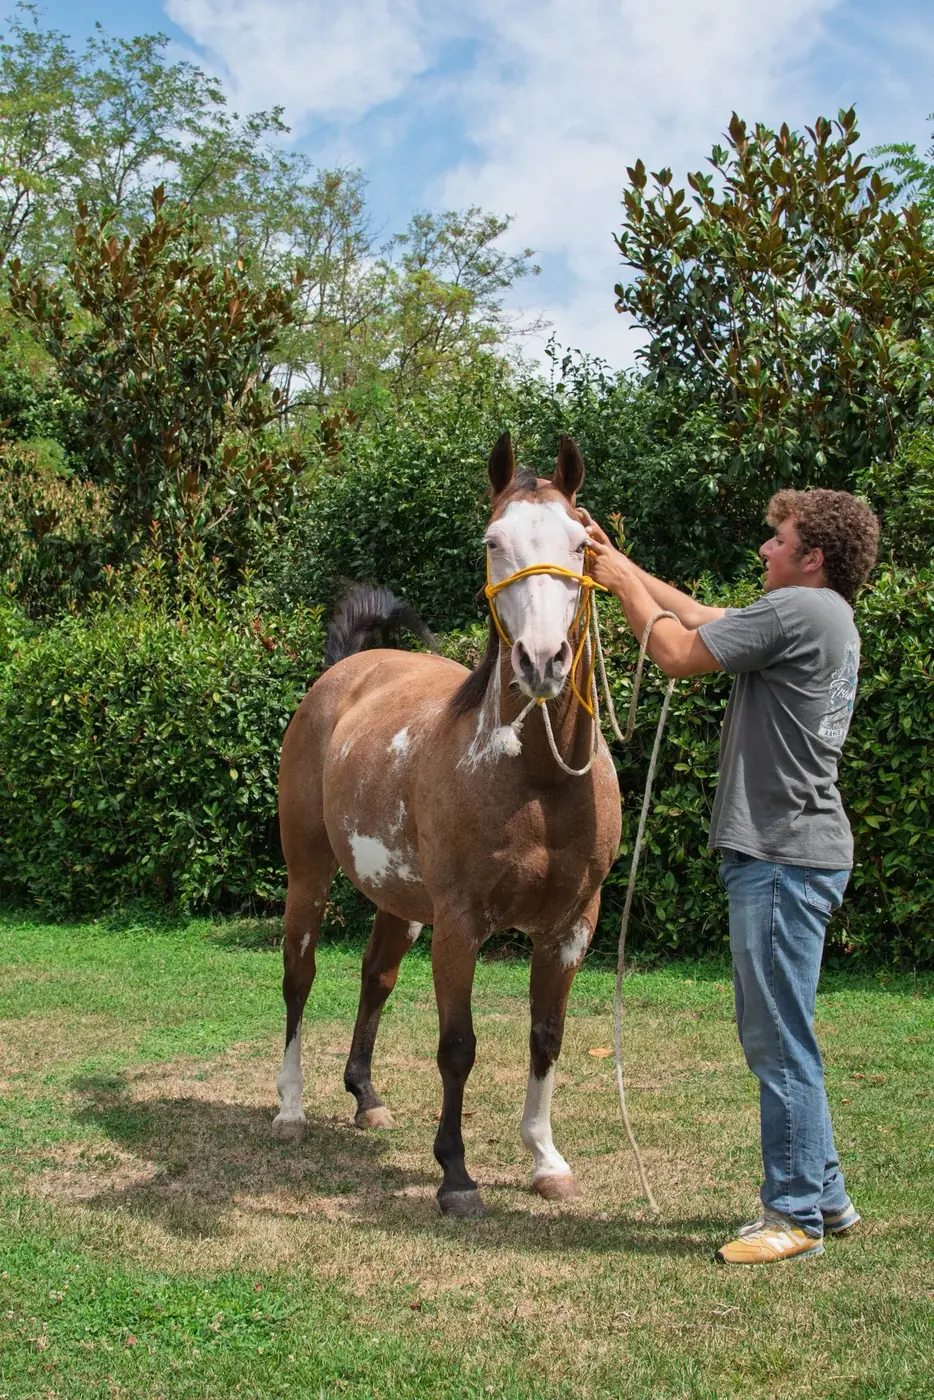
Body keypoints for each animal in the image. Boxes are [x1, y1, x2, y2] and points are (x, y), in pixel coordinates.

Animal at [273, 432, 622, 1217]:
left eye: (581, 542)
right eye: (493, 542)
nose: (543, 660)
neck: (537, 781)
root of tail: (345, 671)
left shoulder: (570, 927)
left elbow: (546, 1036)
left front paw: (546, 1160)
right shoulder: (461, 924)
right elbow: (458, 1046)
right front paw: (456, 1175)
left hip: (400, 901)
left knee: (375, 975)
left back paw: (366, 1096)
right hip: (309, 876)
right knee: (299, 977)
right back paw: (290, 1108)